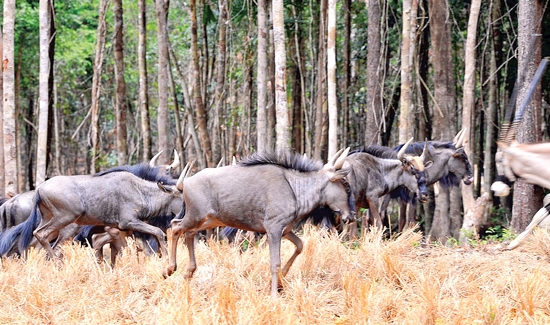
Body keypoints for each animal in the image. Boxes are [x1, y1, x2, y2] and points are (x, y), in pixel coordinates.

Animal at [165, 148, 354, 294]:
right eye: (345, 184)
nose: (350, 217)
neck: (295, 188)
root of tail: (184, 184)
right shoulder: (274, 229)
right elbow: (275, 263)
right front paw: (274, 293)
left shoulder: (285, 230)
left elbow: (299, 246)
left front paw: (280, 282)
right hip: (196, 216)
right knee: (175, 227)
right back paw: (169, 270)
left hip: (208, 220)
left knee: (187, 232)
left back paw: (188, 272)